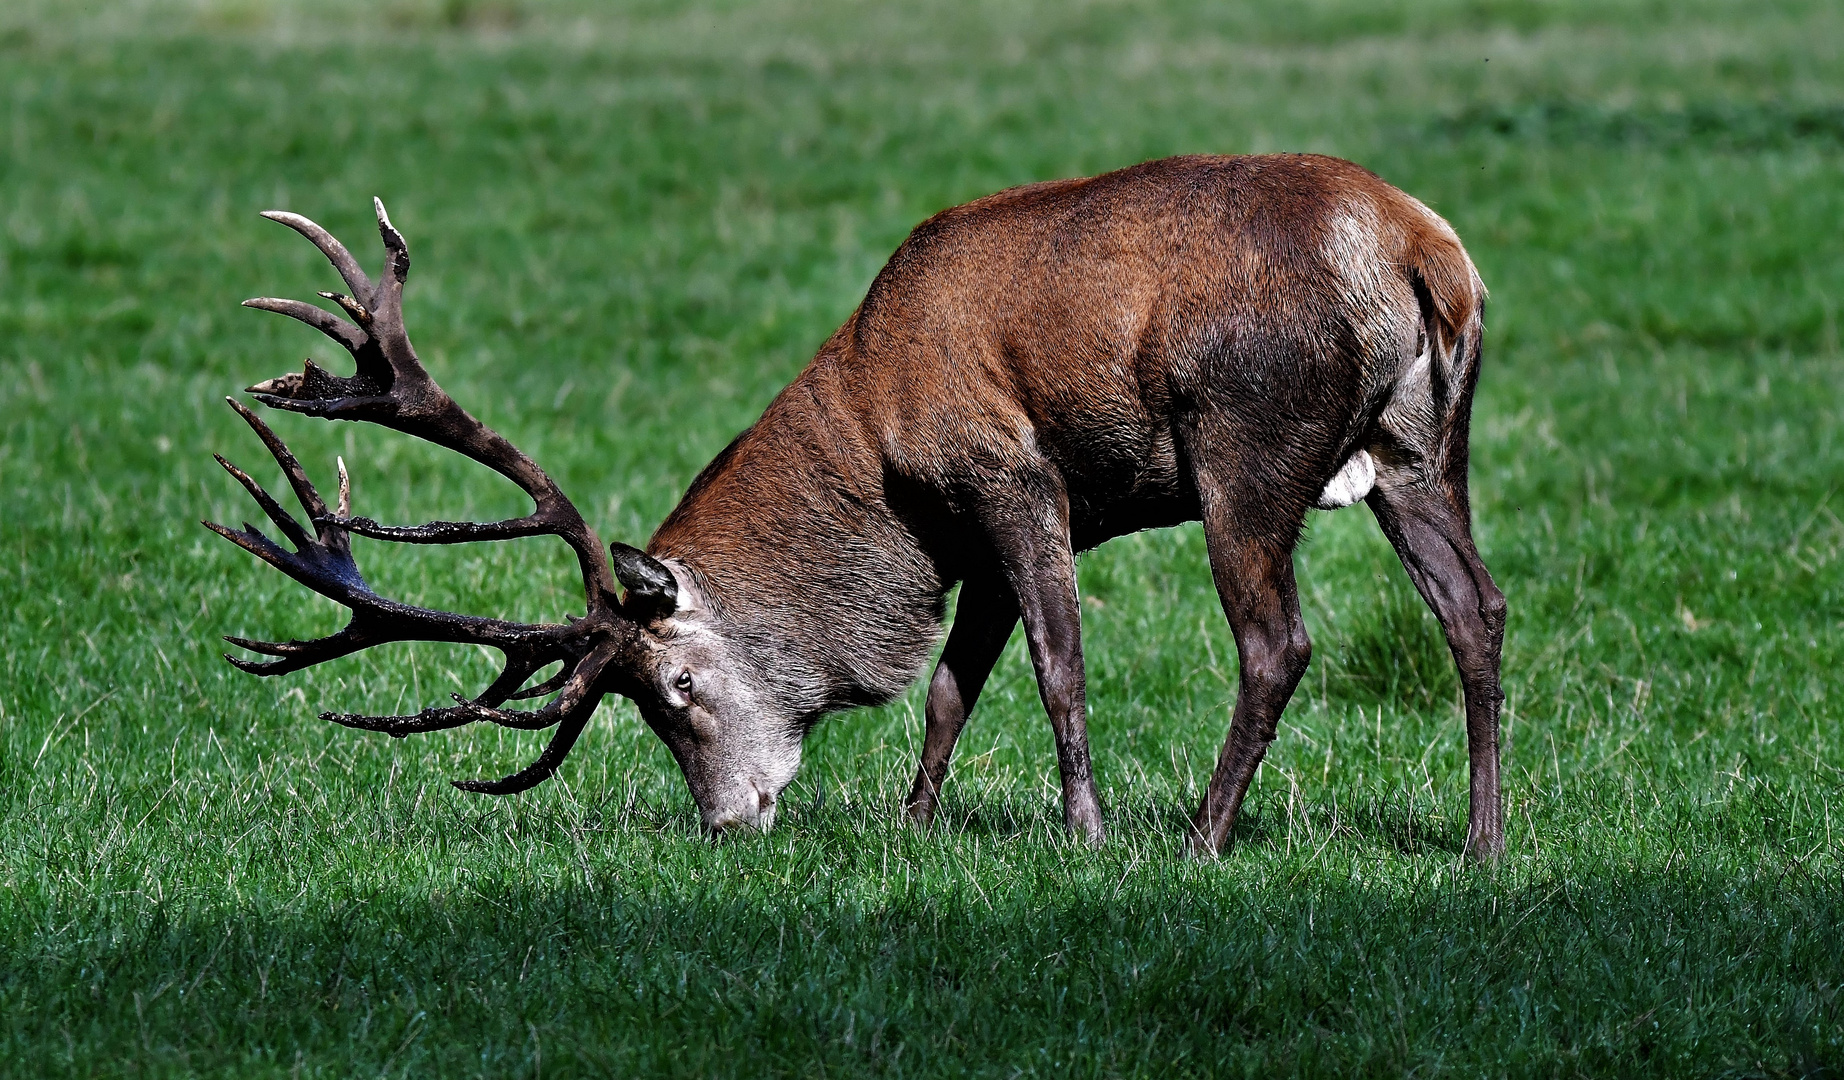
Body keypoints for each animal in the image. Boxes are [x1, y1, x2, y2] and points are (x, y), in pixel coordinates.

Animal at [212, 153, 1512, 858]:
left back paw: (1199, 838)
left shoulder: (1012, 477)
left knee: (1275, 640)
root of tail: (1428, 255)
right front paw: (912, 824)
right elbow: (947, 685)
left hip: (1240, 438)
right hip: (1417, 447)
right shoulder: (967, 537)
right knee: (1476, 609)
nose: (726, 822)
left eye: (671, 692)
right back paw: (1481, 846)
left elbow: (1056, 664)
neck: (879, 448)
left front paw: (1083, 833)